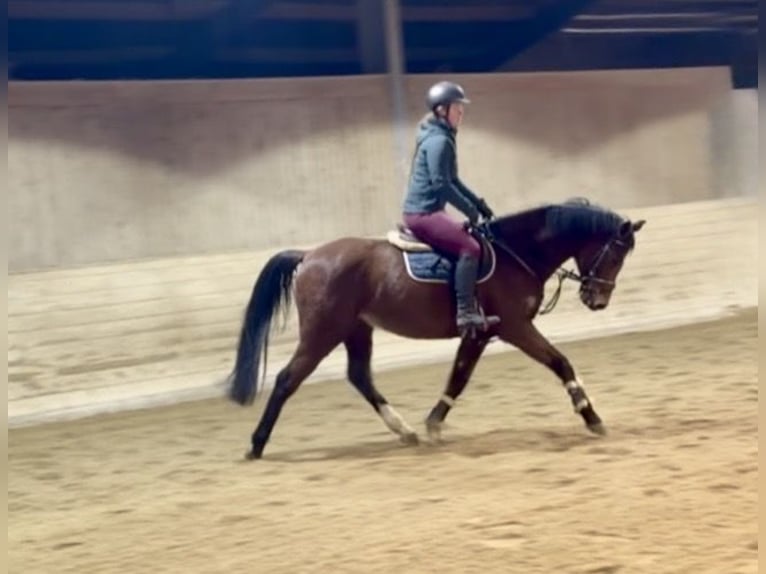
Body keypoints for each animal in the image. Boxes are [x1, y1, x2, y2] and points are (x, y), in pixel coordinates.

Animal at [227, 198, 646, 459]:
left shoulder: (480, 334)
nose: (597, 300)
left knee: (359, 376)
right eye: (616, 254)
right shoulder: (515, 327)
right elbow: (561, 363)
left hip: (356, 330)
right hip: (322, 332)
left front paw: (432, 425)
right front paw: (591, 417)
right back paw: (256, 445)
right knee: (287, 379)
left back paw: (405, 431)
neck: (516, 252)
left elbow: (458, 377)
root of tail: (310, 255)